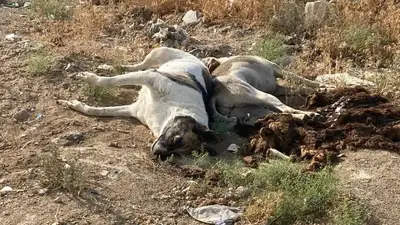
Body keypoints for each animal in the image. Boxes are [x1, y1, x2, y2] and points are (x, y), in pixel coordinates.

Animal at [58, 47, 222, 160]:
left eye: (179, 154)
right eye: (178, 139)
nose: (157, 155)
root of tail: (202, 63)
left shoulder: (133, 110)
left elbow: (99, 110)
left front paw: (76, 105)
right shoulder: (151, 77)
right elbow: (108, 81)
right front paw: (89, 78)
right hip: (158, 52)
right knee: (137, 66)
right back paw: (108, 67)